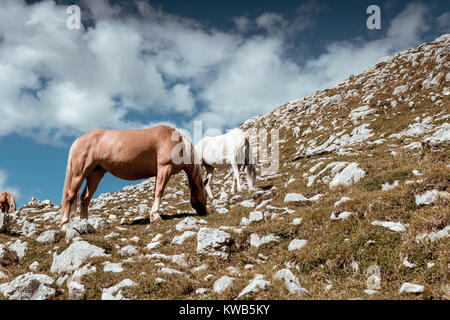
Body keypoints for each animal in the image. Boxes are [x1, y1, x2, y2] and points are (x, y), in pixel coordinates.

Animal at [59, 125, 207, 225]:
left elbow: (155, 191)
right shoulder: (165, 168)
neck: (179, 143)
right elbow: (159, 191)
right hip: (80, 173)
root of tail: (78, 140)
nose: (204, 212)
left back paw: (85, 223)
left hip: (95, 174)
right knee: (71, 195)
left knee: (85, 198)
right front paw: (156, 216)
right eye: (205, 193)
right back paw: (65, 223)